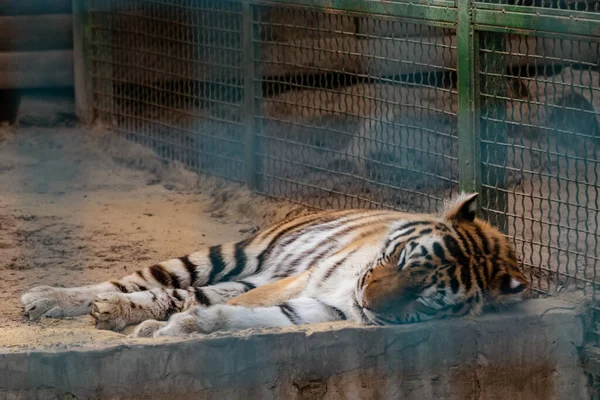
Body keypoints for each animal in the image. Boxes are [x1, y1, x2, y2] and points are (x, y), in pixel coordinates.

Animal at [18, 192, 528, 336]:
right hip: (230, 256)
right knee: (137, 282)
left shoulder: (319, 307)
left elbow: (237, 314)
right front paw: (157, 327)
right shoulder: (303, 282)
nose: (366, 298)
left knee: (183, 294)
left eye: (422, 297)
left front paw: (176, 328)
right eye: (401, 258)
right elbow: (228, 306)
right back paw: (49, 300)